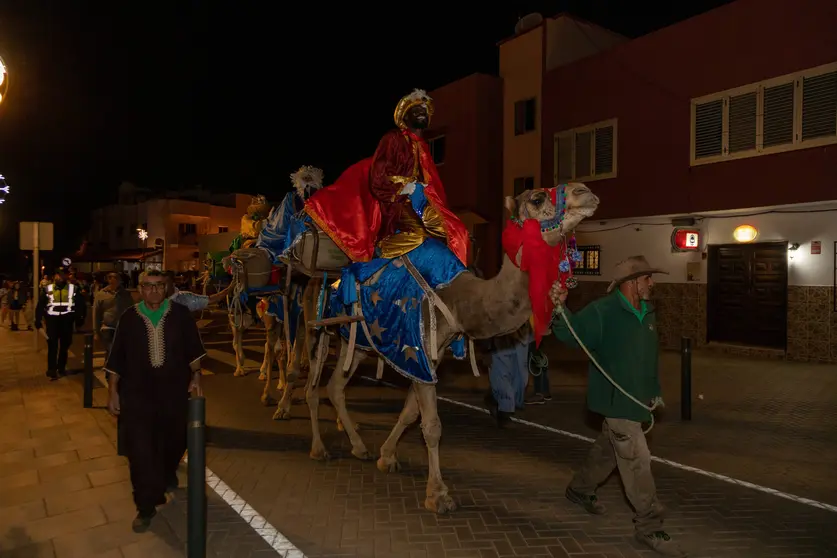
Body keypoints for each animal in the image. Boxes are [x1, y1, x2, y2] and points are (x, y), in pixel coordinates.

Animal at [298, 185, 596, 516]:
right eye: (537, 198)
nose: (585, 192)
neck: (457, 298)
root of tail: (313, 278)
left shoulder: (429, 356)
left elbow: (410, 413)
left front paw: (386, 457)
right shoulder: (415, 349)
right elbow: (431, 426)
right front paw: (438, 495)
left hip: (357, 342)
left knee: (336, 386)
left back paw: (360, 447)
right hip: (315, 330)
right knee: (312, 389)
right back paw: (318, 449)